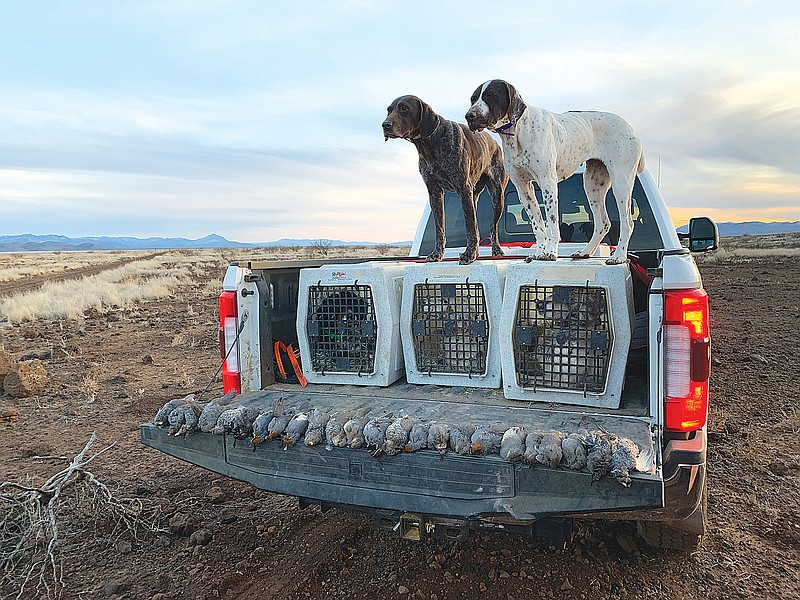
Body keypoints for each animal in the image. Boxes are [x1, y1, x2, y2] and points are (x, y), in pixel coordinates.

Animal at [382, 95, 506, 264]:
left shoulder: (463, 188)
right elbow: (440, 228)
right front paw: (437, 254)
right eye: (389, 110)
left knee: (492, 226)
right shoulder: (435, 192)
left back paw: (496, 250)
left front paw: (469, 254)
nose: (385, 125)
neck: (431, 142)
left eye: (404, 108)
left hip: (497, 196)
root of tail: (495, 144)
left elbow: (470, 226)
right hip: (473, 197)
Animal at [462, 80, 644, 264]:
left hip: (621, 182)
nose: (469, 116)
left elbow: (551, 223)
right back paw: (585, 252)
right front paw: (538, 252)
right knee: (603, 223)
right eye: (472, 99)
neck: (518, 130)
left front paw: (550, 252)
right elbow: (537, 225)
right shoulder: (523, 188)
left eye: (490, 95)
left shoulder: (547, 183)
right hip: (592, 184)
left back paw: (619, 256)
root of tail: (630, 128)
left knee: (627, 223)